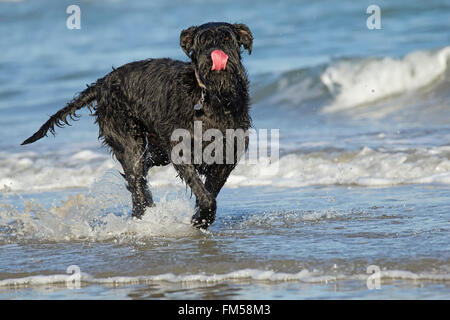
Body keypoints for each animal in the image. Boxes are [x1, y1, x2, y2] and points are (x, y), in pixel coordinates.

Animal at [21, 21, 253, 228]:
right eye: (202, 42)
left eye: (227, 39)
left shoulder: (228, 152)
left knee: (143, 169)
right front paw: (201, 218)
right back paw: (144, 213)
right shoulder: (181, 148)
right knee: (136, 178)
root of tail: (103, 82)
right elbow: (204, 193)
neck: (213, 98)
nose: (215, 56)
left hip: (157, 149)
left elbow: (210, 190)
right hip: (127, 138)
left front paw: (201, 217)